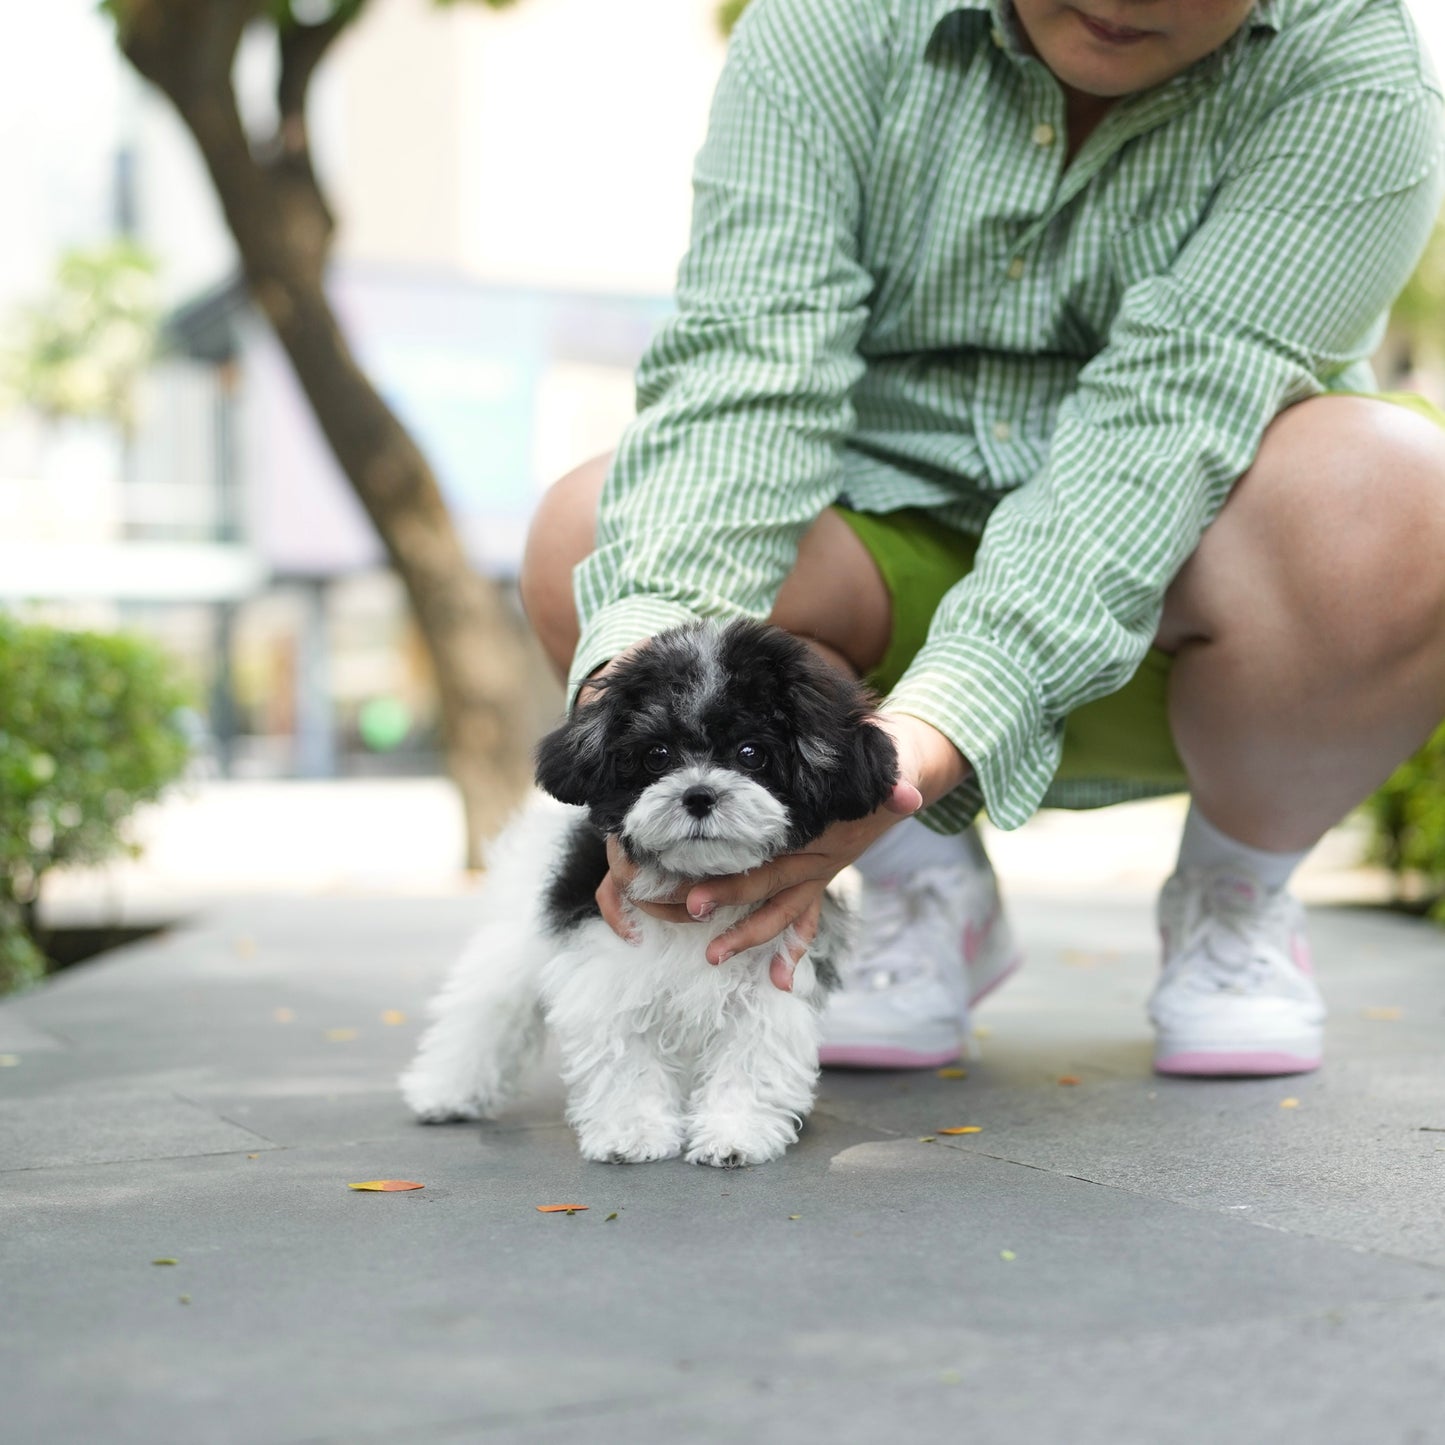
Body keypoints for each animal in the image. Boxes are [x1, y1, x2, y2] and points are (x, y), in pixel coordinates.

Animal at [395, 618, 890, 1161]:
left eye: (751, 754)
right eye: (657, 755)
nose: (699, 795)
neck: (700, 884)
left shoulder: (774, 974)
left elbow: (751, 1057)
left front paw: (734, 1133)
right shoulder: (607, 964)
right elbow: (623, 1056)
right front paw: (630, 1132)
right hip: (516, 940)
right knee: (486, 1010)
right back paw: (446, 1092)